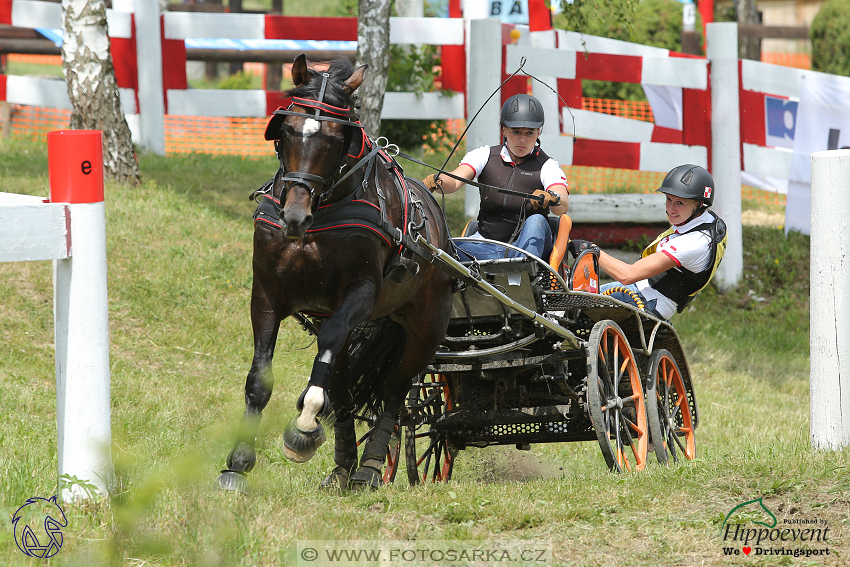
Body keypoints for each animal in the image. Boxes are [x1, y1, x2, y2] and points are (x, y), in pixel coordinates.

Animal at [219, 54, 454, 492]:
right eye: (287, 131)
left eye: (333, 139)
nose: (294, 216)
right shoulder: (266, 294)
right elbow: (259, 379)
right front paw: (238, 462)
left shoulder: (358, 295)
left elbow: (325, 361)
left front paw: (304, 425)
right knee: (345, 390)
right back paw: (344, 465)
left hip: (426, 327)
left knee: (395, 390)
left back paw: (370, 466)